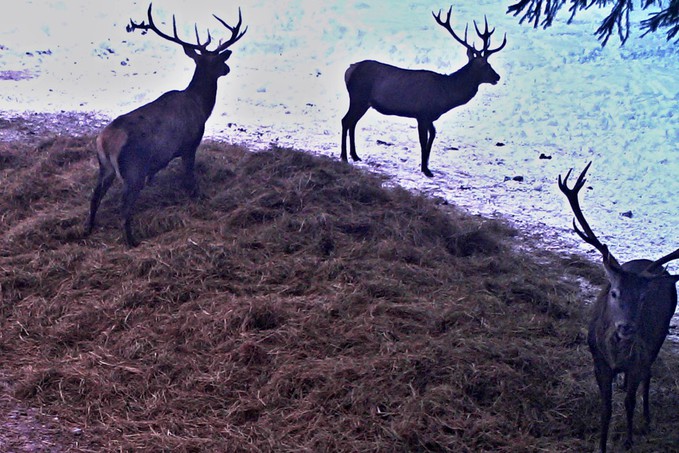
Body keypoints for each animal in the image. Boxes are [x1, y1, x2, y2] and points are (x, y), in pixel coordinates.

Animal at [83, 3, 246, 245]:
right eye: (219, 60)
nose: (227, 69)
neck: (201, 106)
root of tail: (105, 141)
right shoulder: (190, 144)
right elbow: (189, 178)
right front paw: (196, 198)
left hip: (105, 167)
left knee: (94, 196)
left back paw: (88, 229)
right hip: (133, 169)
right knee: (124, 206)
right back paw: (131, 240)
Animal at [340, 6, 504, 178]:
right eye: (486, 65)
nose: (497, 76)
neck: (445, 94)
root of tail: (349, 70)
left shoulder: (429, 116)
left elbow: (432, 135)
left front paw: (426, 166)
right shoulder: (422, 113)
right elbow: (423, 140)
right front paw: (425, 169)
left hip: (364, 102)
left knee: (353, 123)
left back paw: (355, 155)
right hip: (358, 97)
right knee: (345, 121)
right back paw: (344, 156)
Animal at [556, 162, 679, 452]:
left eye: (643, 298)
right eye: (614, 292)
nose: (626, 328)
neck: (616, 355)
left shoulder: (638, 358)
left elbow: (629, 401)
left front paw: (629, 439)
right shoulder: (598, 360)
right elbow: (606, 408)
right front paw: (601, 445)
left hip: (657, 339)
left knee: (648, 377)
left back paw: (646, 419)